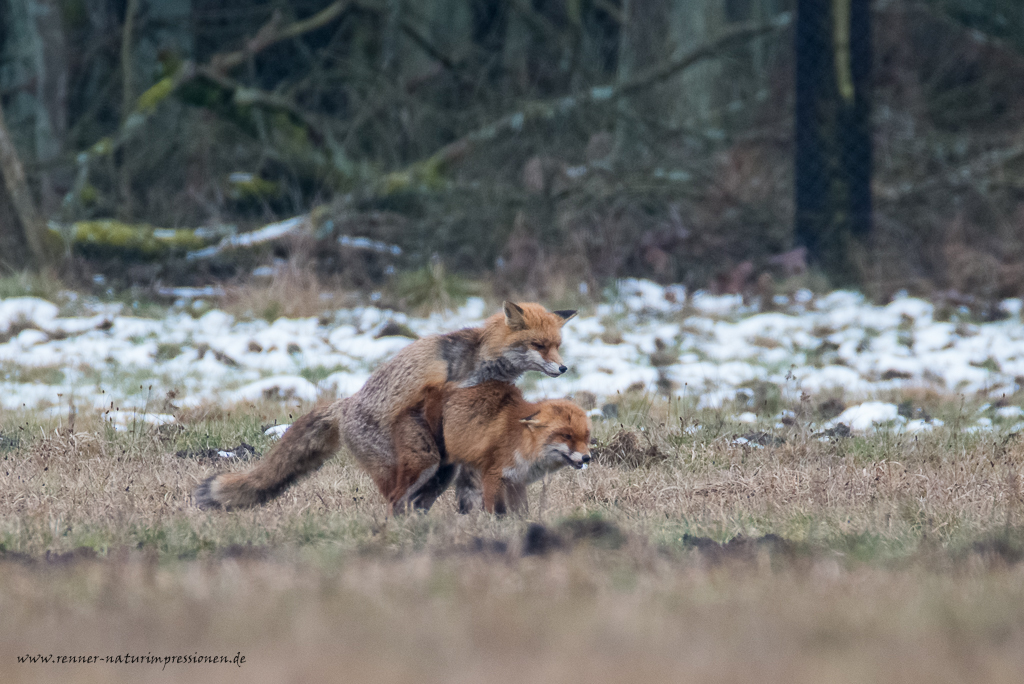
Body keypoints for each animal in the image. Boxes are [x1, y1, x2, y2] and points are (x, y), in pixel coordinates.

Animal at [192, 301, 577, 509]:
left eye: (558, 346)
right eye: (539, 345)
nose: (563, 368)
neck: (480, 359)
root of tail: (344, 405)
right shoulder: (440, 391)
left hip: (432, 471)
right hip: (404, 462)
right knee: (397, 497)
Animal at [415, 378, 593, 511]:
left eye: (586, 437)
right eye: (566, 436)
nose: (587, 458)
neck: (521, 442)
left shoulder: (516, 482)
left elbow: (521, 512)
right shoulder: (493, 476)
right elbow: (498, 512)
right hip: (440, 471)